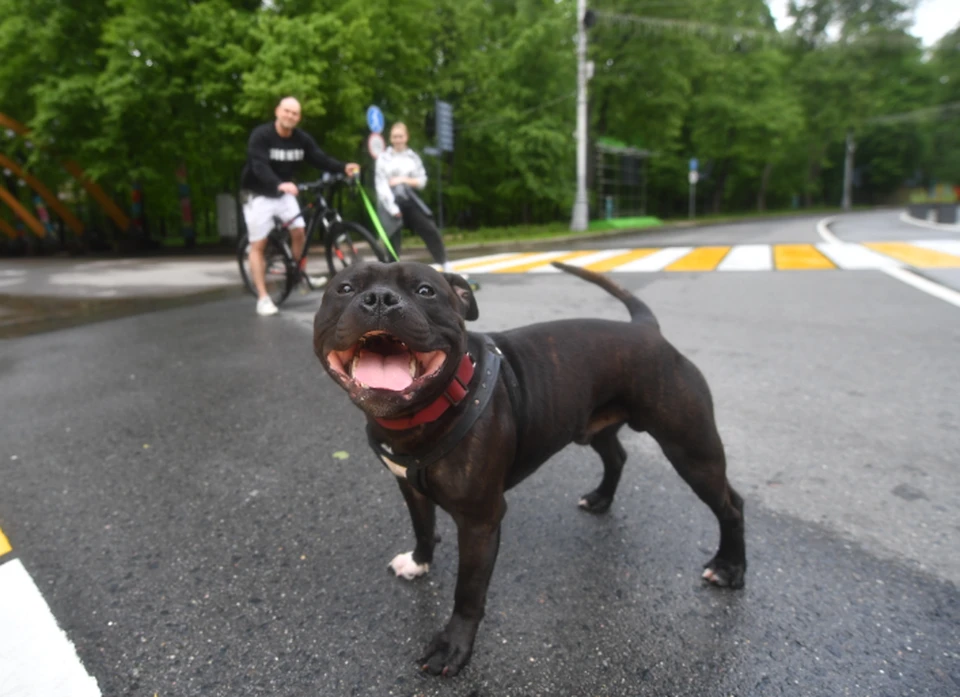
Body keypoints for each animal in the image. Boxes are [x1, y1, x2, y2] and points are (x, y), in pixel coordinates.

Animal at [312, 260, 748, 676]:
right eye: (345, 288)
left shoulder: (480, 522)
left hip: (691, 451)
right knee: (617, 457)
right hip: (595, 425)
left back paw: (729, 568)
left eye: (425, 290)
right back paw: (601, 498)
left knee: (731, 505)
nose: (380, 300)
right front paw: (419, 561)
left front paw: (453, 648)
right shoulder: (409, 487)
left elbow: (468, 591)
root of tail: (645, 329)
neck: (420, 415)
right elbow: (423, 526)